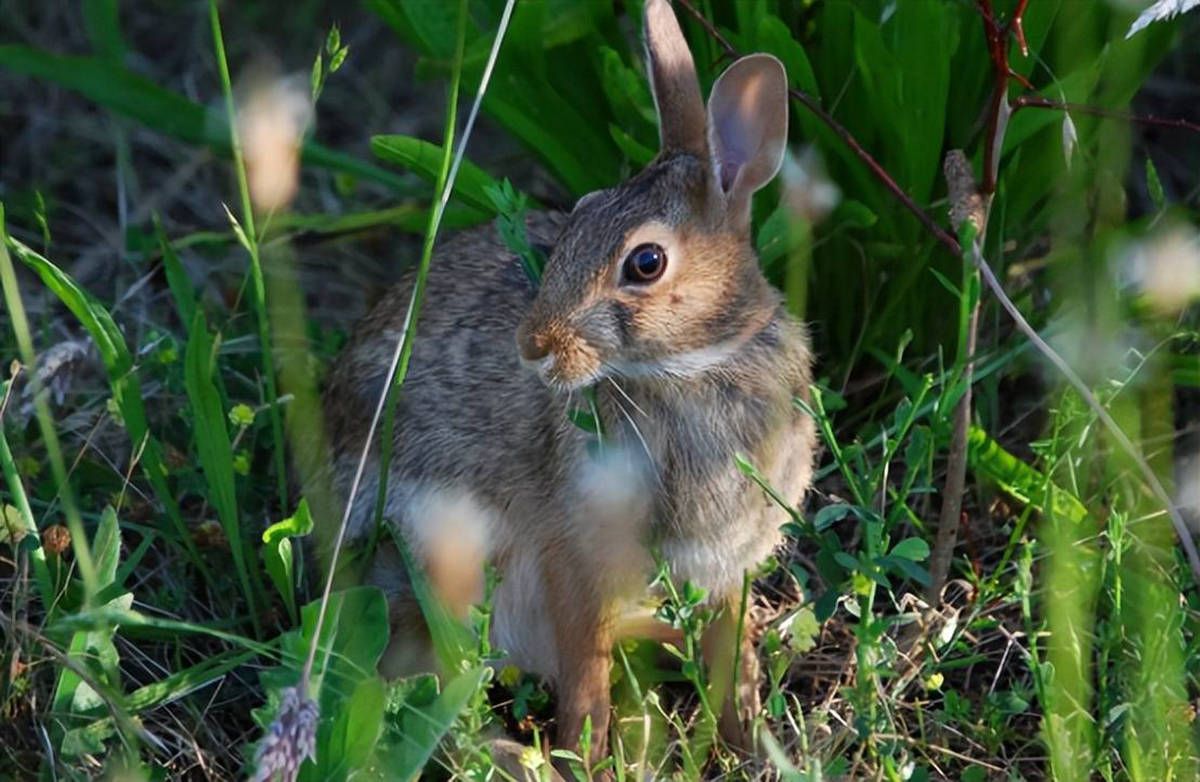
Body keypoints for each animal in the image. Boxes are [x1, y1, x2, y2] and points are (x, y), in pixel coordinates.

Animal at [321, 0, 816, 762]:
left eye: (645, 262)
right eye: (578, 213)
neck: (694, 366)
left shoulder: (726, 561)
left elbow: (724, 647)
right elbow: (585, 664)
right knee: (428, 684)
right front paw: (585, 752)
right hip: (441, 556)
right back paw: (521, 759)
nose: (533, 347)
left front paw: (747, 734)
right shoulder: (573, 554)